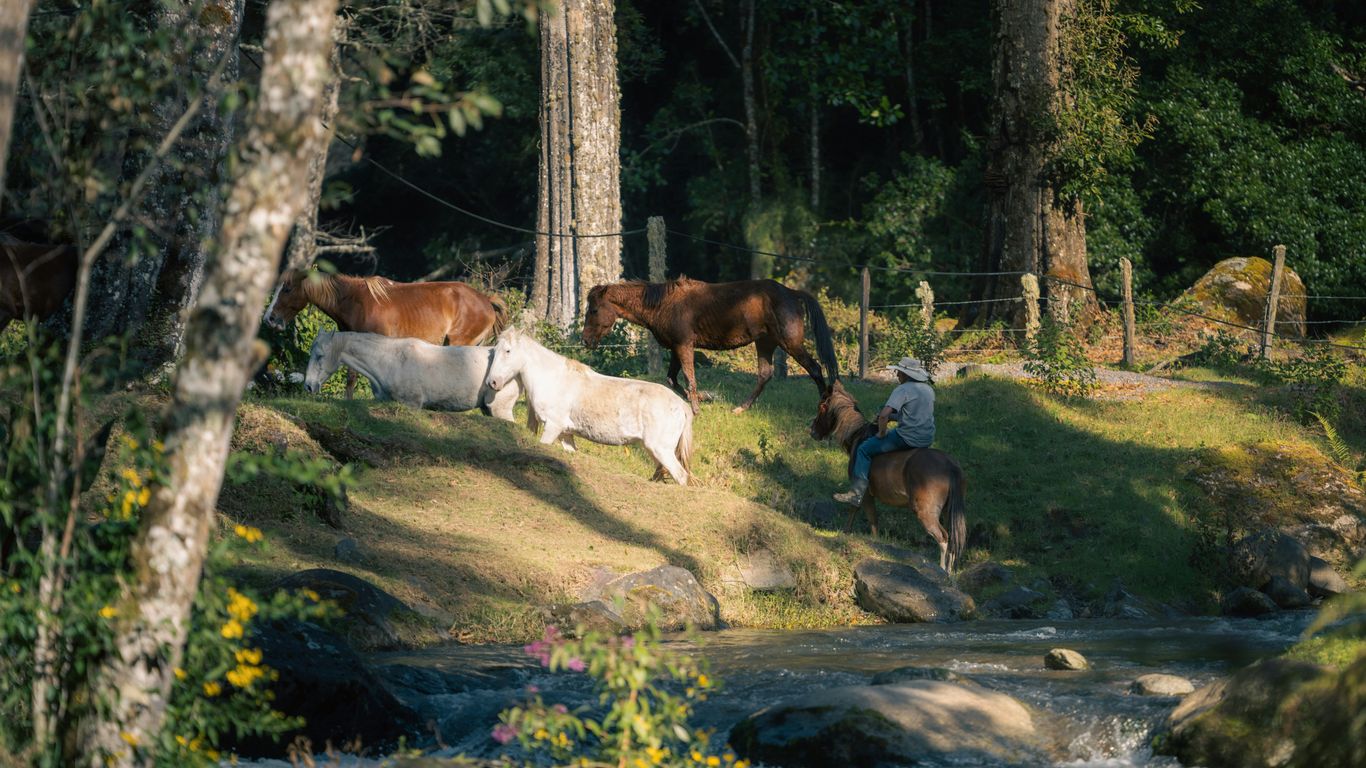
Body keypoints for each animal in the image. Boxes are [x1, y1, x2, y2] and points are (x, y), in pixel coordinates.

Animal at [265, 267, 510, 397]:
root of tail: (486, 301)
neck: (355, 301)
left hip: (458, 342)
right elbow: (351, 377)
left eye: (287, 289)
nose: (269, 319)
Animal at [484, 328, 693, 485]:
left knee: (682, 477)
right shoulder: (565, 433)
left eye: (508, 351)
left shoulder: (552, 427)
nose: (492, 382)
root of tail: (681, 405)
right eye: (494, 351)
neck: (554, 380)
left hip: (660, 450)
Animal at [582, 276, 839, 415]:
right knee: (765, 374)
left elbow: (689, 377)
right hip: (765, 342)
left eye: (593, 310)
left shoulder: (684, 345)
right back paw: (740, 408)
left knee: (815, 368)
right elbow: (672, 379)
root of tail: (793, 293)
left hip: (789, 343)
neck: (663, 304)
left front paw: (696, 407)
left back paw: (822, 407)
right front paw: (704, 398)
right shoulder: (676, 348)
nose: (585, 340)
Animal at [809, 379, 966, 573]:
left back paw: (942, 570)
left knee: (943, 538)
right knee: (951, 541)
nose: (812, 431)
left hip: (926, 511)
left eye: (822, 406)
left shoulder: (864, 493)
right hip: (947, 510)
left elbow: (864, 515)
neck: (857, 437)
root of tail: (951, 465)